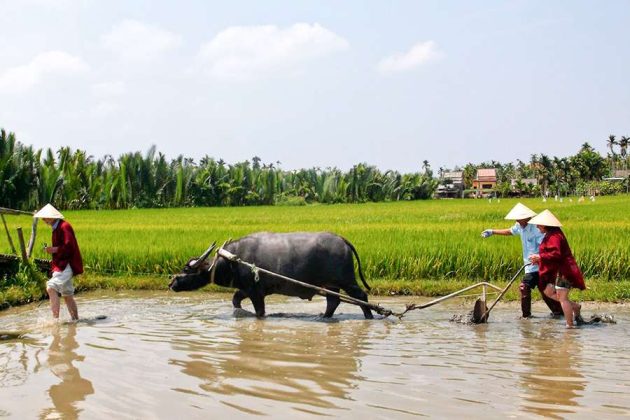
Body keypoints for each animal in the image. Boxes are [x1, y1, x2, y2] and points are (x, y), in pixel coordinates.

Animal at [169, 233, 376, 318]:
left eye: (186, 269)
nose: (171, 283)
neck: (232, 261)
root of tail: (342, 240)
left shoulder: (255, 292)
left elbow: (260, 312)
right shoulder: (246, 289)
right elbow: (235, 300)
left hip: (346, 280)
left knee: (361, 297)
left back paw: (369, 317)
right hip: (331, 284)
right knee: (333, 301)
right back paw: (324, 317)